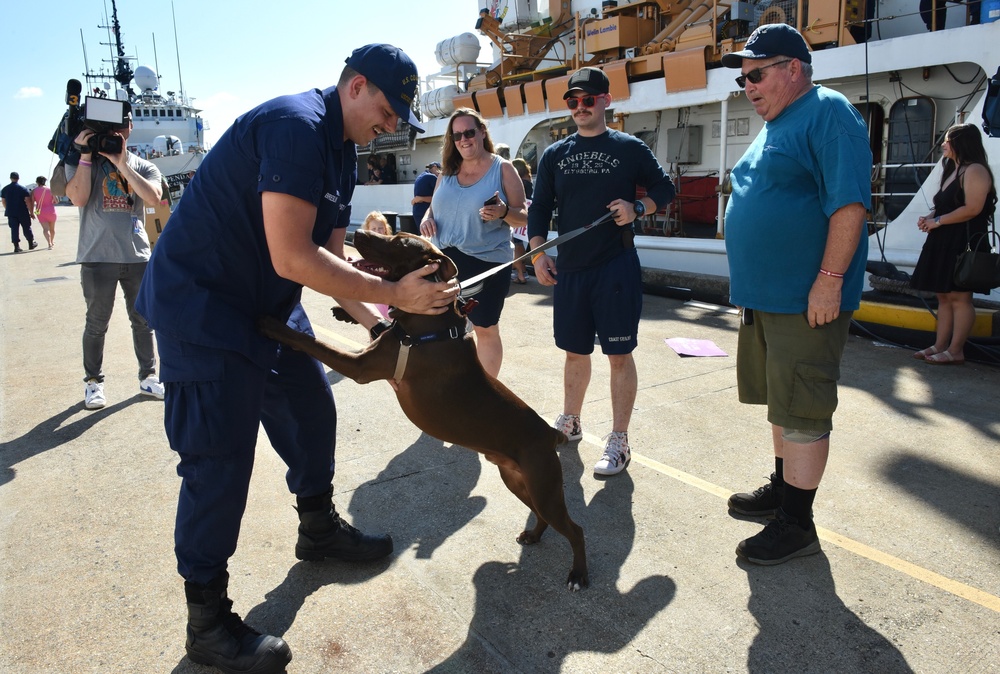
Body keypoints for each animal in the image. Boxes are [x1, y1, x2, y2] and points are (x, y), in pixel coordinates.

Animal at [258, 231, 584, 588]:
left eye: (400, 242)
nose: (357, 233)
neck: (429, 323)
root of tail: (550, 434)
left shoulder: (361, 366)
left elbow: (314, 343)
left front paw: (275, 326)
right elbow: (381, 318)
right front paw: (346, 312)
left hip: (543, 485)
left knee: (575, 529)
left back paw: (578, 575)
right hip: (517, 480)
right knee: (542, 515)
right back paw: (534, 536)